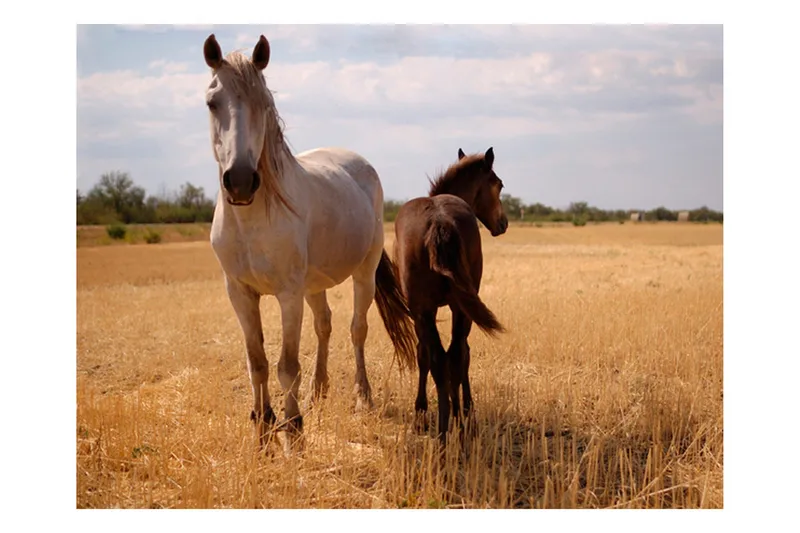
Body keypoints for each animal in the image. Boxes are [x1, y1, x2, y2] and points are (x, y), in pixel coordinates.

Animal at [201, 34, 416, 448]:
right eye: (211, 102)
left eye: (264, 103)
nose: (240, 181)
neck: (253, 221)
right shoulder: (239, 293)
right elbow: (257, 363)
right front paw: (262, 424)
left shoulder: (288, 294)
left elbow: (286, 366)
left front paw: (293, 429)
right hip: (314, 285)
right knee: (325, 325)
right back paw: (319, 391)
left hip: (362, 274)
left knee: (356, 329)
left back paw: (362, 397)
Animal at [393, 147, 508, 444]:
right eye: (499, 184)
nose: (503, 223)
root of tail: (439, 220)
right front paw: (462, 409)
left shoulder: (425, 312)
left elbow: (428, 356)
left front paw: (424, 412)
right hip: (451, 309)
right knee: (452, 356)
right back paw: (454, 424)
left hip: (432, 310)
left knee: (443, 358)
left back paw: (448, 427)